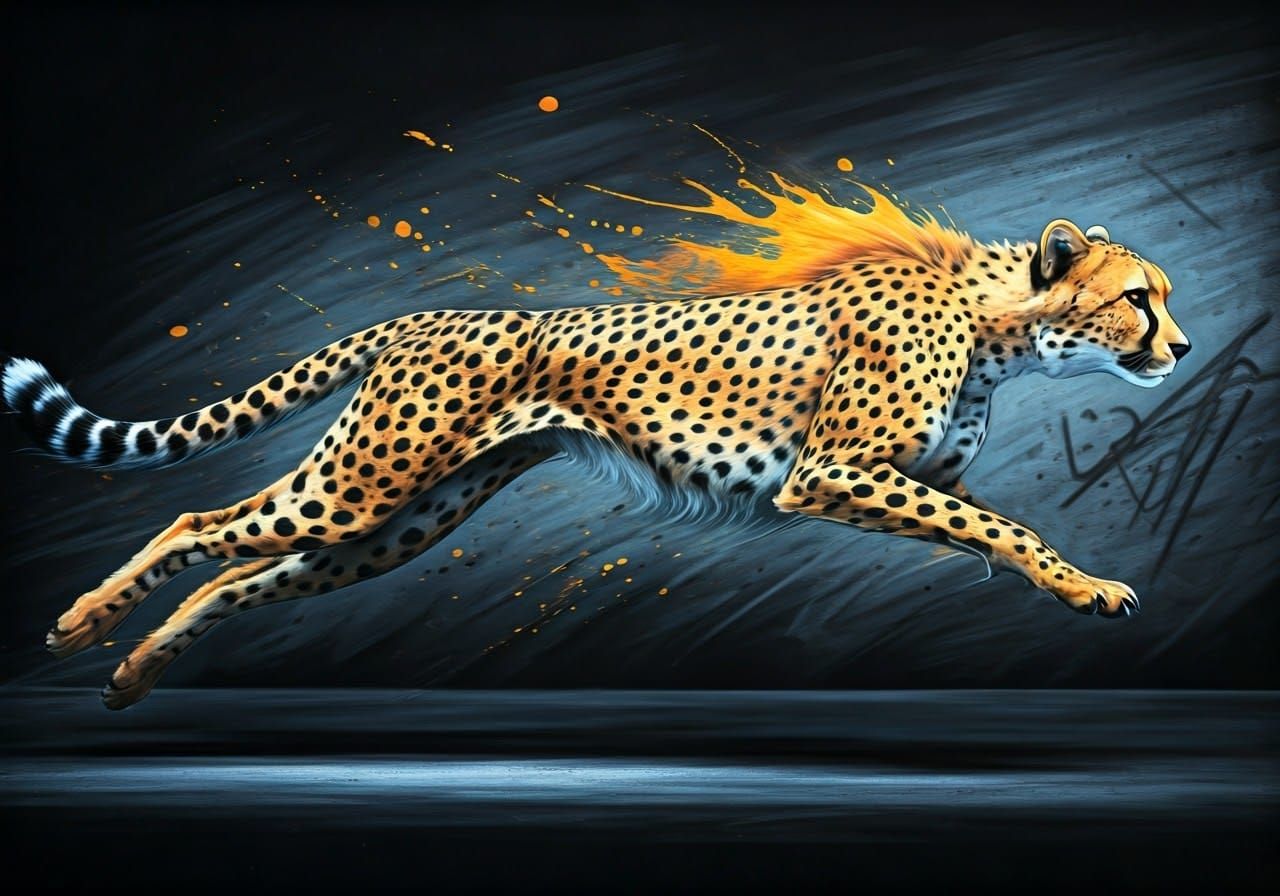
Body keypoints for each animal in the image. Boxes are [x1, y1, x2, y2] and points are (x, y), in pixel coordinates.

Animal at [1, 209, 1189, 709]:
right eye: (1139, 297)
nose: (1181, 346)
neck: (997, 319)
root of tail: (424, 314)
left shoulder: (916, 475)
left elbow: (994, 521)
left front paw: (1072, 581)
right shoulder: (831, 473)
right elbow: (1000, 524)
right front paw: (1088, 588)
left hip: (400, 520)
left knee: (245, 574)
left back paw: (131, 675)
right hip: (361, 487)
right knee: (200, 524)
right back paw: (79, 625)